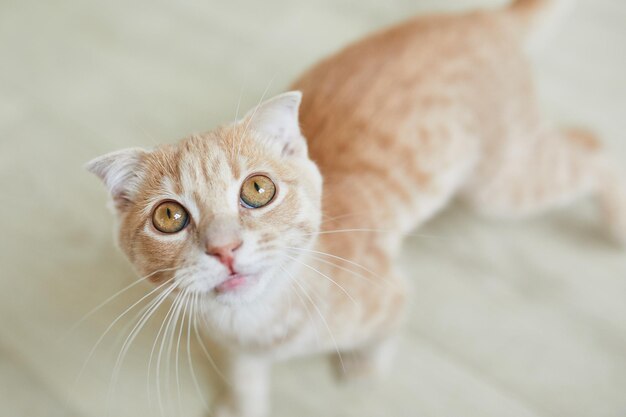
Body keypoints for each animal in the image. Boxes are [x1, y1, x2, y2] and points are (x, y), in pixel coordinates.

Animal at [85, 1, 620, 414]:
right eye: (169, 217)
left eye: (257, 189)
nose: (225, 248)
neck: (257, 322)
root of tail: (483, 18)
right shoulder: (238, 349)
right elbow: (245, 377)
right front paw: (242, 406)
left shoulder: (391, 292)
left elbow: (388, 329)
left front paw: (367, 362)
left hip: (498, 185)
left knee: (594, 157)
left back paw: (615, 221)